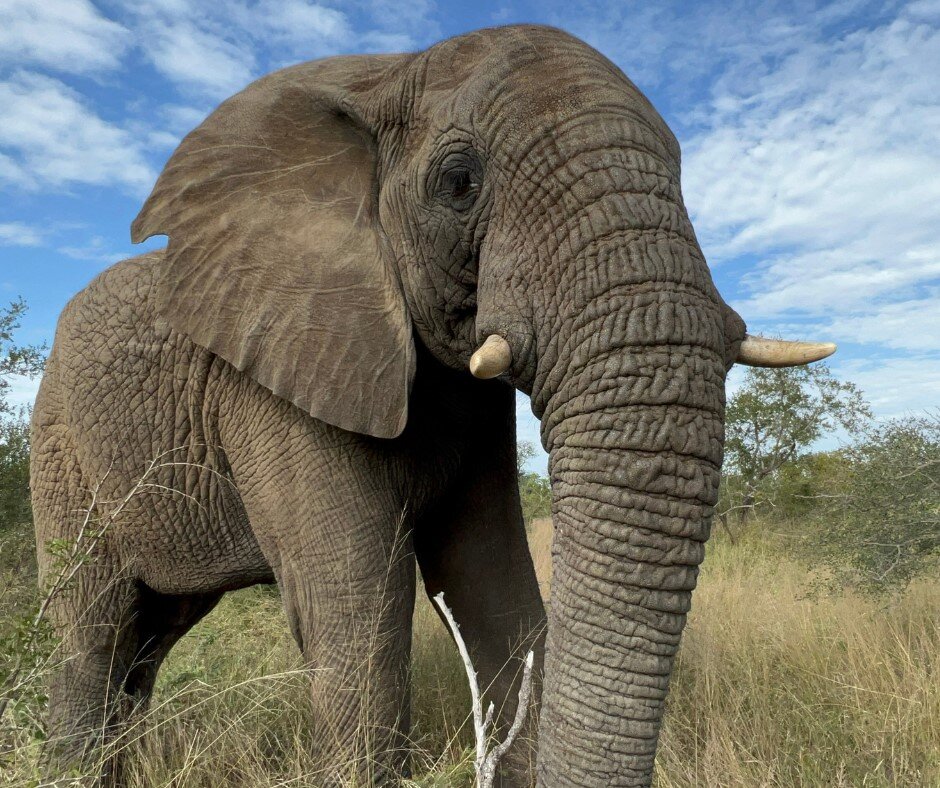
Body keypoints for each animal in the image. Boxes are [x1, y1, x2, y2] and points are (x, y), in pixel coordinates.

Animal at [31, 24, 835, 787]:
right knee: (92, 631)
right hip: (59, 442)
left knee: (147, 643)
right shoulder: (271, 374)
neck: (384, 77)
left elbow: (493, 587)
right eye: (458, 182)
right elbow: (360, 605)